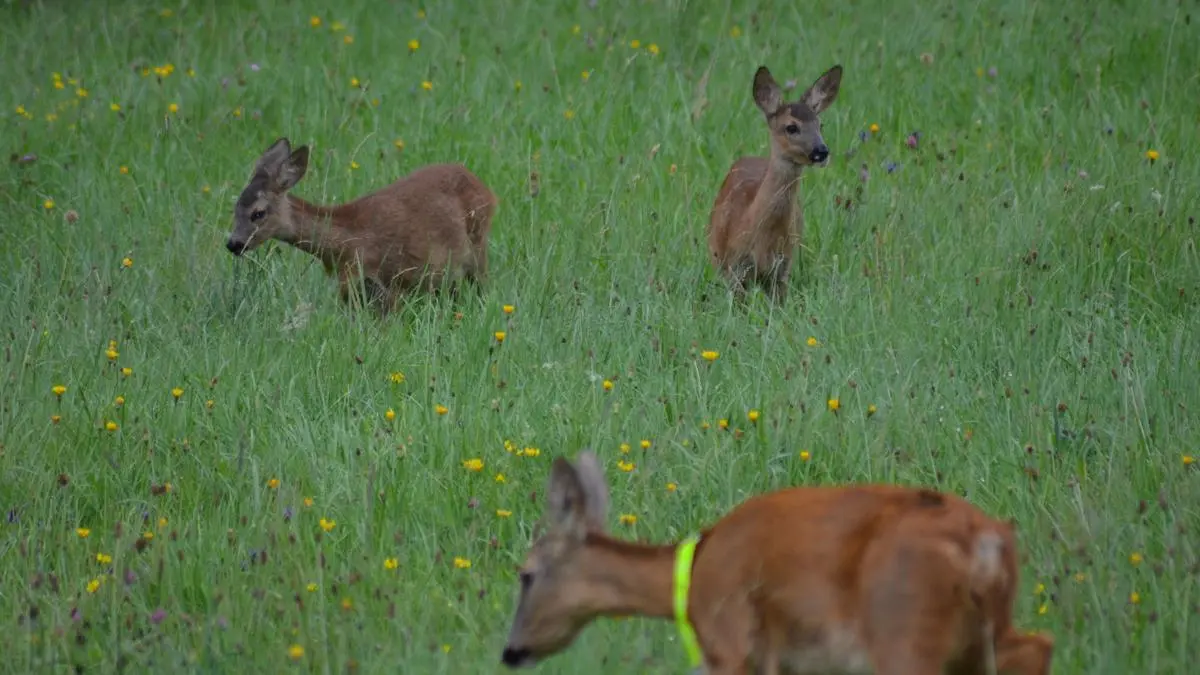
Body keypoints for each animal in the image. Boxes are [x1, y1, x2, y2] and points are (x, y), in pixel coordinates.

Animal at [225, 137, 496, 314]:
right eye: (235, 207)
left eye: (258, 213)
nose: (233, 243)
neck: (343, 243)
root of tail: (487, 190)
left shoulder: (388, 280)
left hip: (478, 247)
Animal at [500, 451, 1054, 675]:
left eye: (526, 575)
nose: (510, 651)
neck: (691, 579)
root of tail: (985, 543)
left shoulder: (731, 644)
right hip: (980, 633)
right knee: (1035, 646)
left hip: (904, 625)